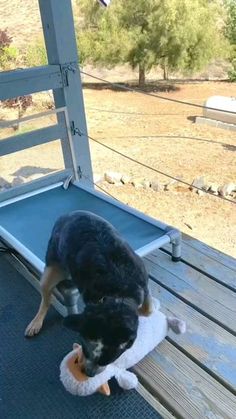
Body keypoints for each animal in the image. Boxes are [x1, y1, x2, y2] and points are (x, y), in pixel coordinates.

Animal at [24, 212, 152, 376]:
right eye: (84, 350)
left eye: (107, 361)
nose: (88, 373)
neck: (117, 294)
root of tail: (67, 215)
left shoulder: (143, 283)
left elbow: (148, 309)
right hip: (50, 269)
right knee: (46, 299)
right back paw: (36, 322)